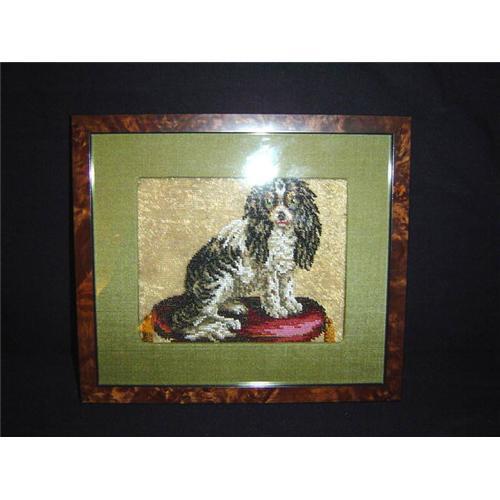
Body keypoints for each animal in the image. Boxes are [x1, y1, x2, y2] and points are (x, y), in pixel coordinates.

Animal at [171, 178, 321, 341]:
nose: (281, 214)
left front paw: (291, 304)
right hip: (219, 281)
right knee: (200, 314)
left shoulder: (285, 270)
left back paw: (233, 307)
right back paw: (224, 324)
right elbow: (273, 292)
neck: (281, 234)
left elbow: (287, 289)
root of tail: (188, 290)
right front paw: (277, 309)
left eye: (293, 200)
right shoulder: (268, 271)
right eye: (269, 201)